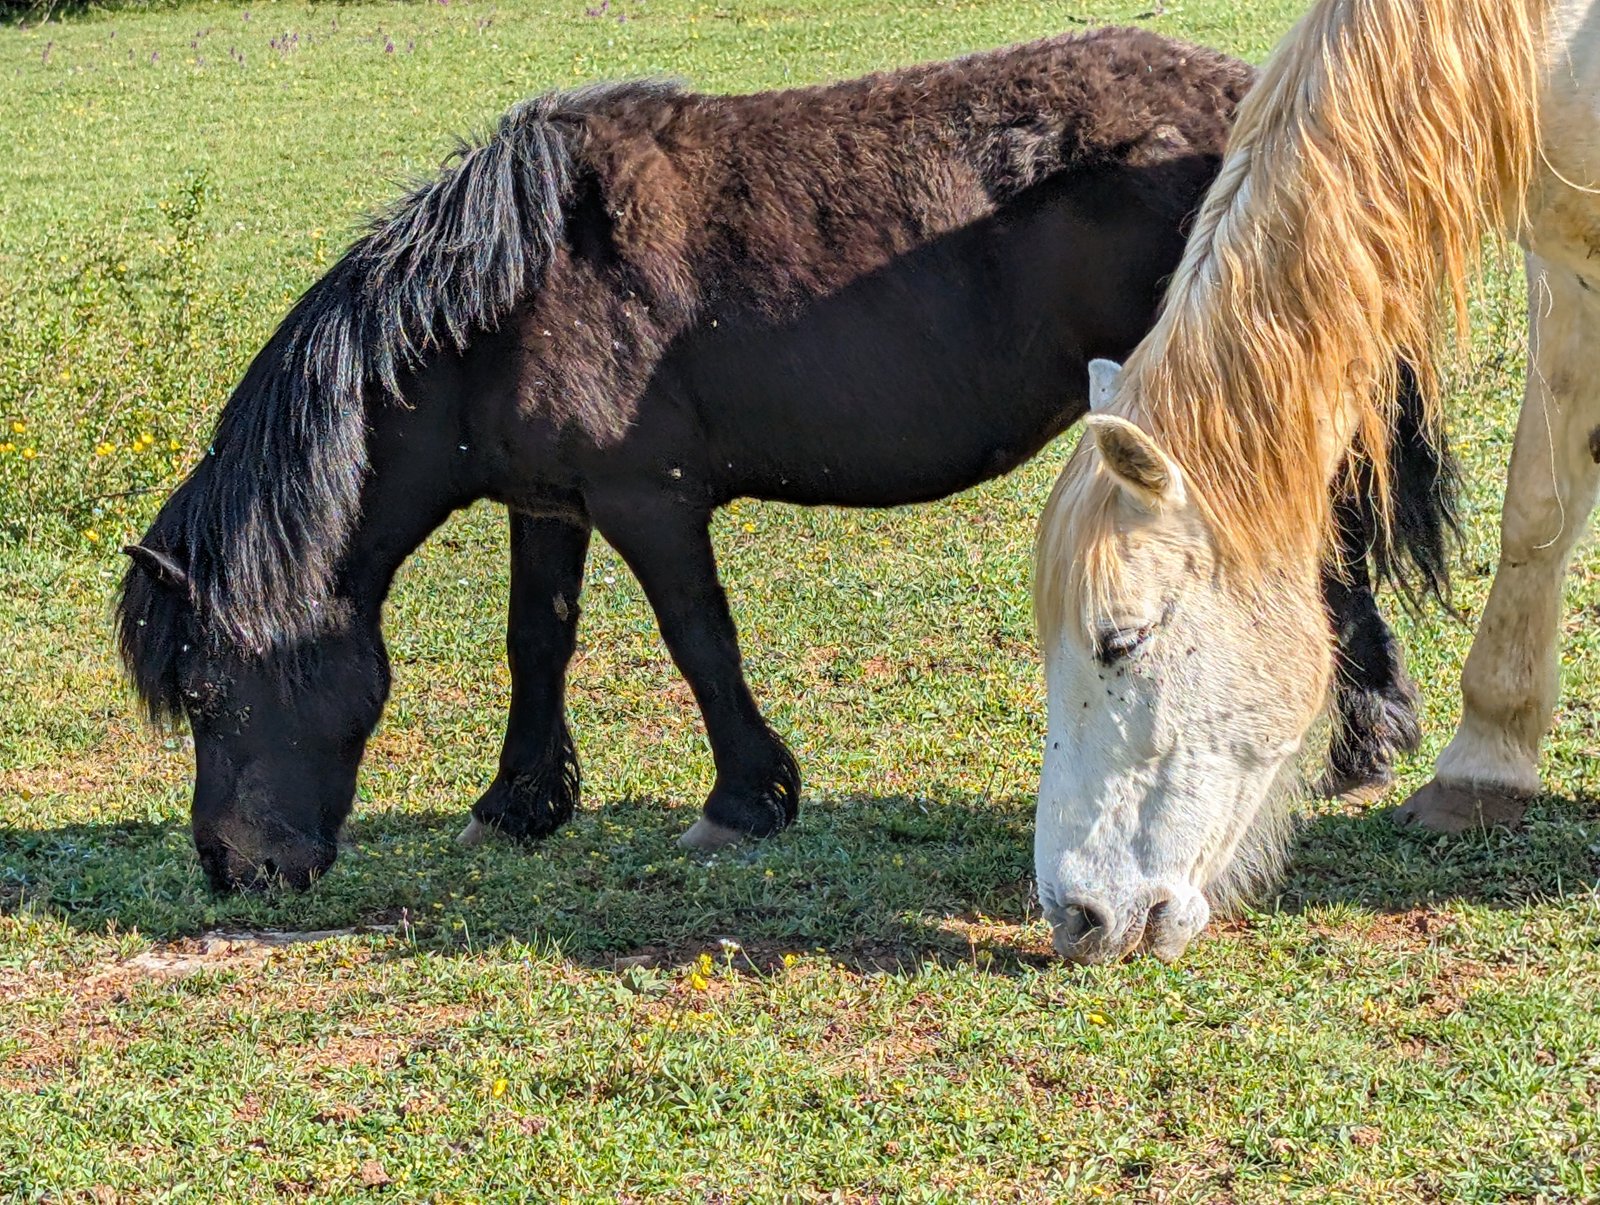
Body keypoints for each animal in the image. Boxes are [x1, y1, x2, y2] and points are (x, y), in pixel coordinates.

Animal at [117, 27, 1449, 894]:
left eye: (208, 694)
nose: (231, 867)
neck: (506, 295)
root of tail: (1246, 103)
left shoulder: (647, 500)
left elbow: (699, 640)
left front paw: (744, 802)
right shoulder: (547, 502)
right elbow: (536, 640)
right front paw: (518, 805)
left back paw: (1364, 740)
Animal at [1031, 0, 1588, 964]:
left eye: (1121, 641)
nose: (1077, 915)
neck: (1557, 42)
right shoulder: (1568, 270)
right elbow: (1538, 510)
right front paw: (1485, 766)